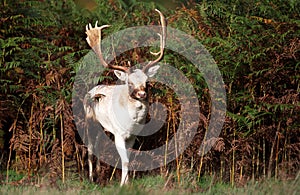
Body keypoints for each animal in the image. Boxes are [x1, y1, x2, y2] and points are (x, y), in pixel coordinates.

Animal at [82, 9, 166, 186]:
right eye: (129, 83)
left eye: (147, 82)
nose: (142, 94)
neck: (131, 122)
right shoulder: (119, 134)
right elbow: (125, 160)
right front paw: (122, 184)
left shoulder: (133, 136)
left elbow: (128, 158)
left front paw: (127, 182)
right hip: (89, 120)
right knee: (91, 148)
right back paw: (92, 178)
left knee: (98, 145)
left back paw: (98, 173)